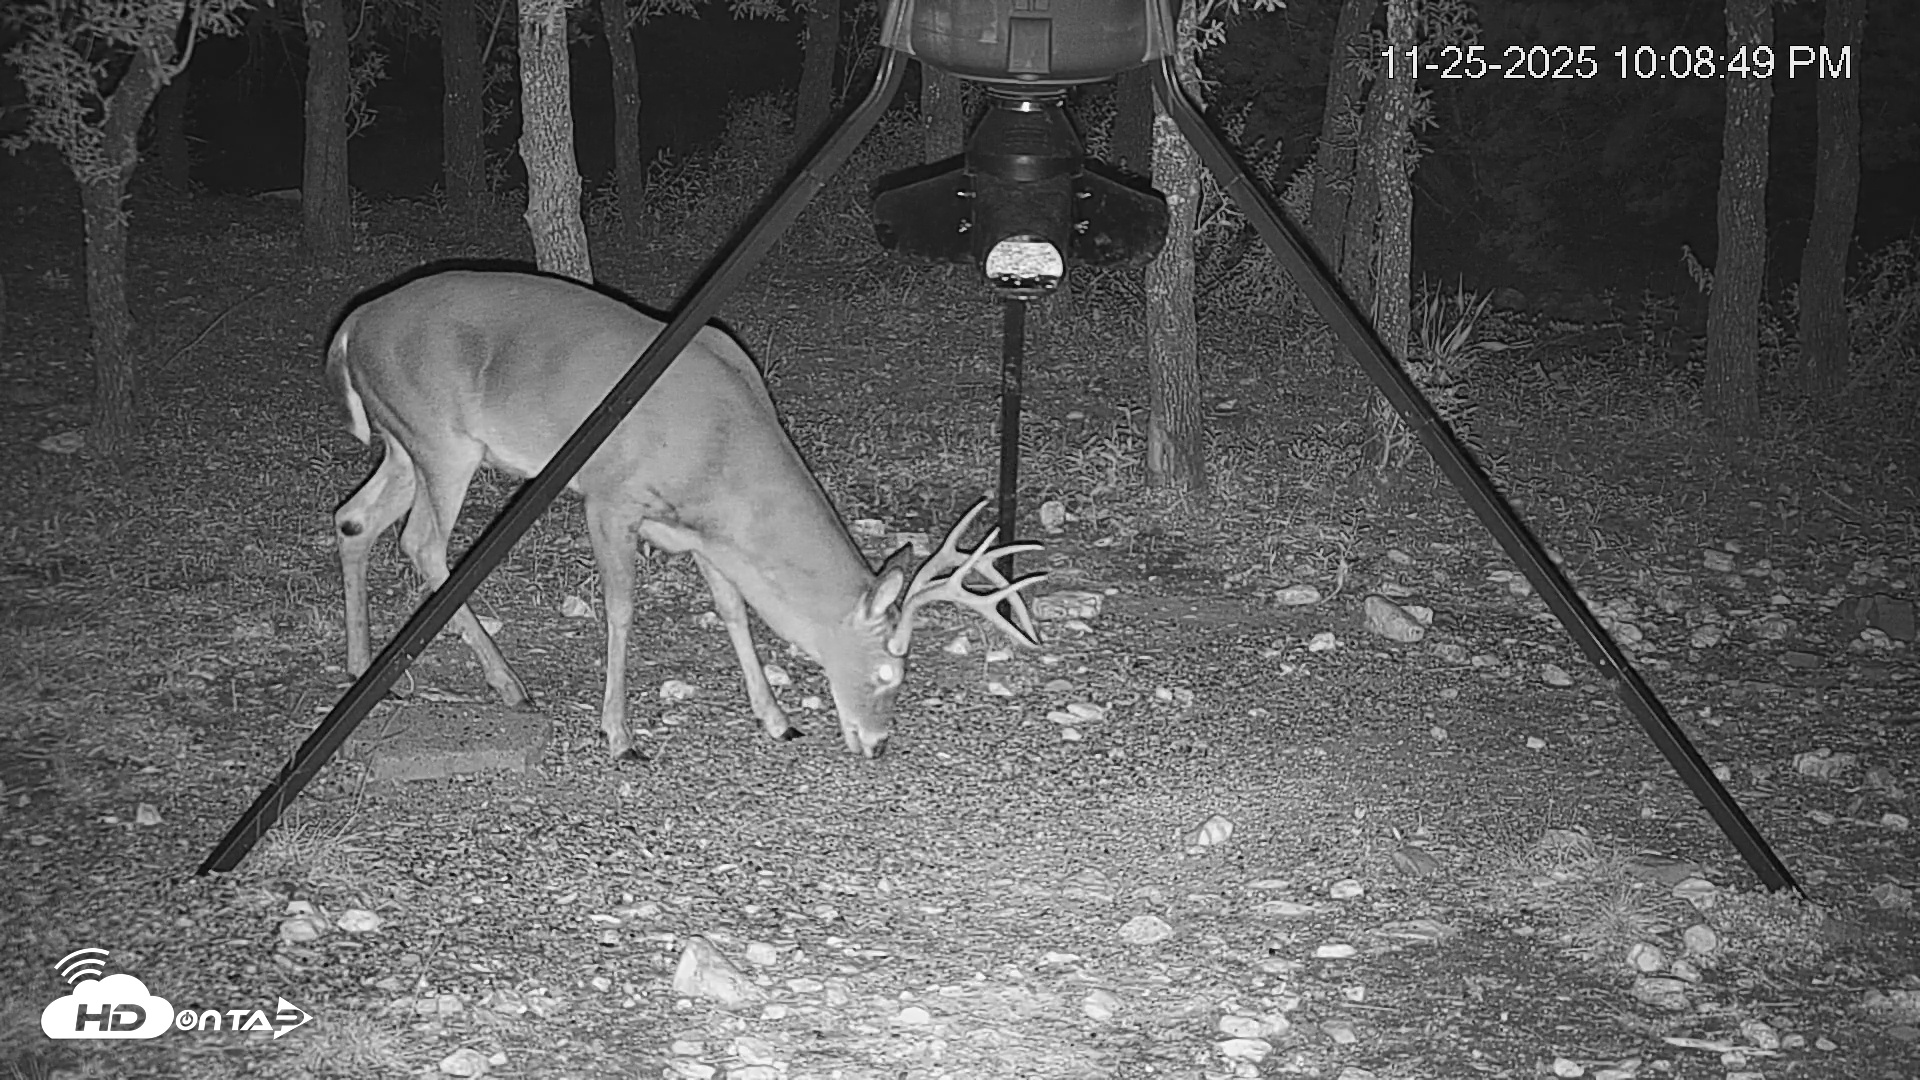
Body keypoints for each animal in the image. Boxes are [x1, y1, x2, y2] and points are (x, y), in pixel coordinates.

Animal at [324, 269, 1044, 761]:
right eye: (888, 672)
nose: (877, 743)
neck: (721, 444)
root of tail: (353, 324)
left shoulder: (705, 530)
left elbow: (733, 610)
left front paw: (777, 718)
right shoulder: (609, 497)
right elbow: (621, 610)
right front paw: (619, 734)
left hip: (403, 443)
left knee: (354, 519)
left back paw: (372, 671)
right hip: (442, 441)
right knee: (421, 542)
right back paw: (508, 684)